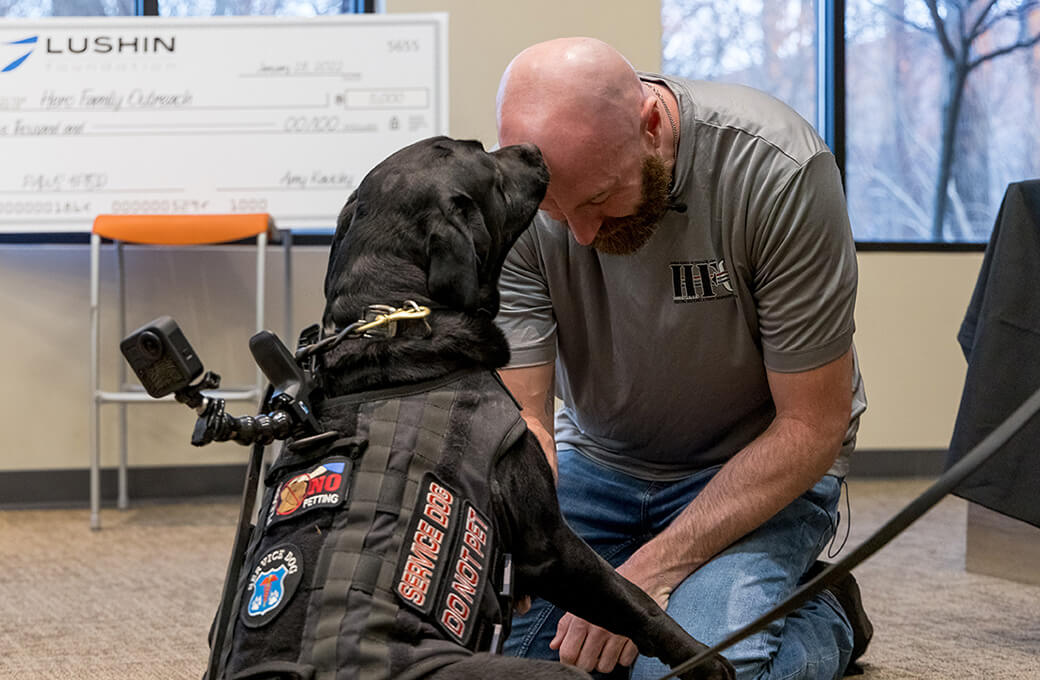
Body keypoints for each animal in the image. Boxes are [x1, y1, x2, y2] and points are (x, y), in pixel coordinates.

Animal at [209, 138, 732, 680]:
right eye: (485, 158)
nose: (532, 147)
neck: (391, 317)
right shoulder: (548, 543)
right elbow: (630, 598)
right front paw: (704, 659)